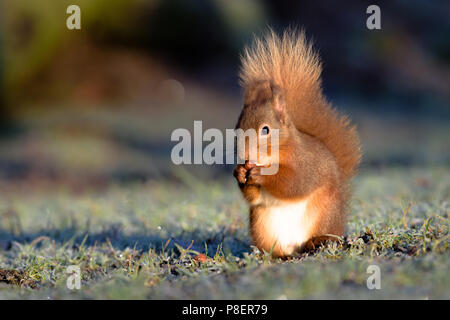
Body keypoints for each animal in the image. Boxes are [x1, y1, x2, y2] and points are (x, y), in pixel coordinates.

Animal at [234, 29, 360, 258]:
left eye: (265, 130)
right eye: (237, 126)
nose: (244, 155)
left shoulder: (306, 164)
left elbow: (294, 183)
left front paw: (262, 174)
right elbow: (254, 197)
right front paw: (239, 173)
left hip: (325, 214)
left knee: (325, 235)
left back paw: (316, 241)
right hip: (261, 224)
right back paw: (280, 254)